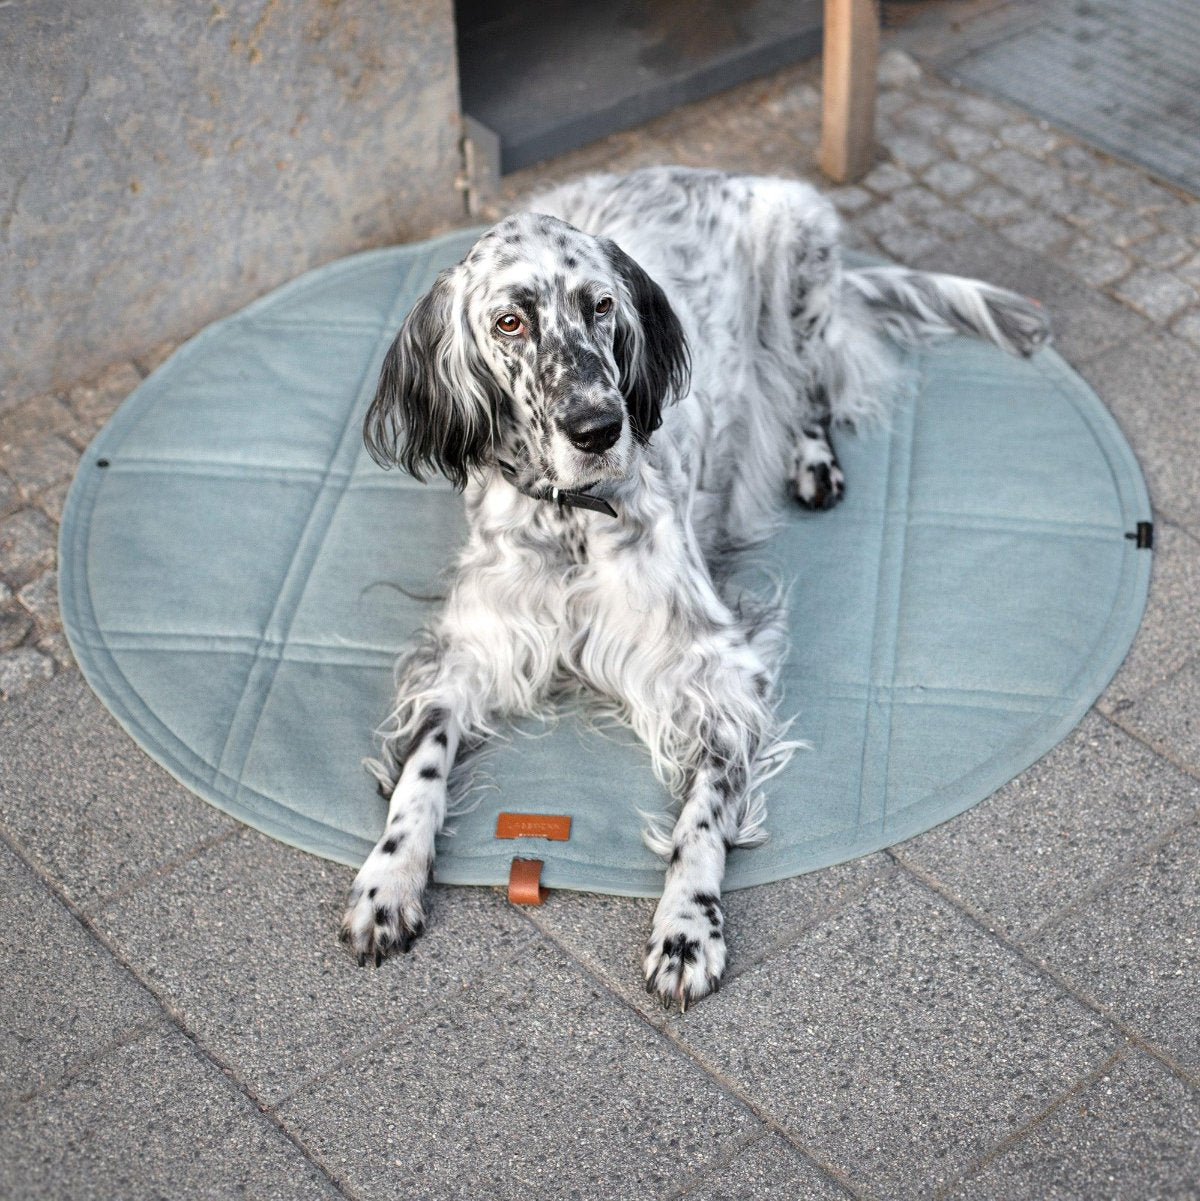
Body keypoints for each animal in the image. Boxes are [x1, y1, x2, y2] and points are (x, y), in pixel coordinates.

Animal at [341, 164, 1052, 1008]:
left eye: (600, 305)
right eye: (510, 321)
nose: (599, 427)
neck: (572, 520)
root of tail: (719, 172)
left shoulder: (717, 671)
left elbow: (702, 817)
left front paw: (687, 925)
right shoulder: (471, 650)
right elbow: (419, 772)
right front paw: (387, 880)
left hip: (800, 259)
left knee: (805, 388)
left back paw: (811, 460)